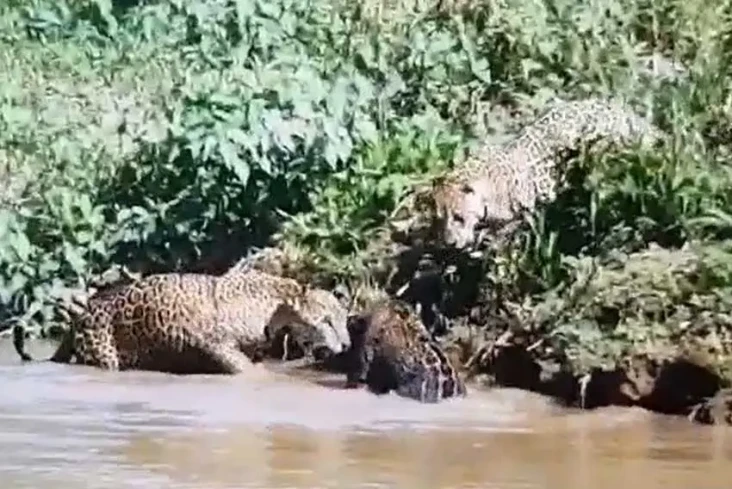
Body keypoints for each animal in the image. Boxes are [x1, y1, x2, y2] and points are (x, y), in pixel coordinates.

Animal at [13, 264, 351, 375]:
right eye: (326, 321)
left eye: (344, 320)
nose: (348, 345)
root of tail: (82, 313)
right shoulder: (215, 344)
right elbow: (246, 370)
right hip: (103, 355)